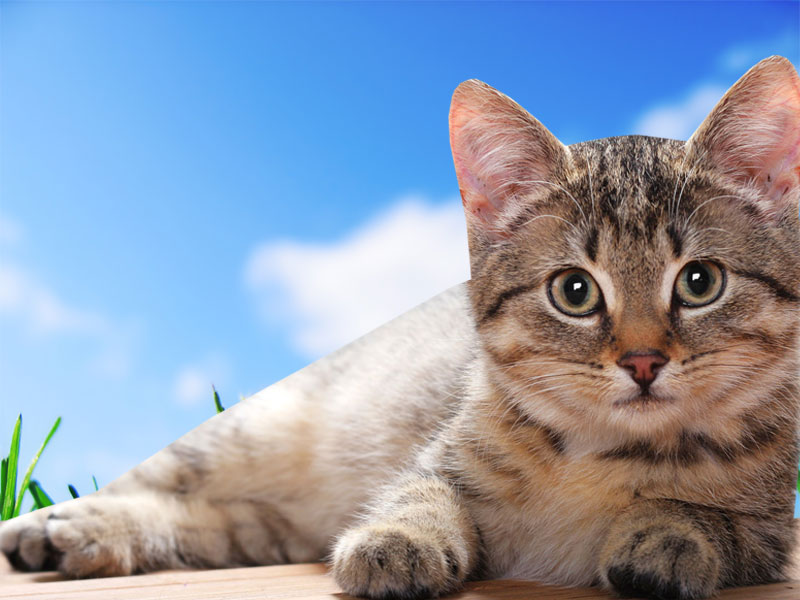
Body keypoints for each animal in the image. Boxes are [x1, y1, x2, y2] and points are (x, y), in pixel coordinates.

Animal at [1, 55, 800, 600]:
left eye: (700, 283)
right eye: (574, 292)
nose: (641, 361)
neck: (604, 454)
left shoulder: (773, 532)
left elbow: (714, 521)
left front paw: (669, 534)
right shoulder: (436, 459)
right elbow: (417, 494)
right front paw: (396, 539)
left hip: (265, 522)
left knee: (215, 525)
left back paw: (83, 539)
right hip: (247, 431)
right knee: (159, 481)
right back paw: (54, 526)